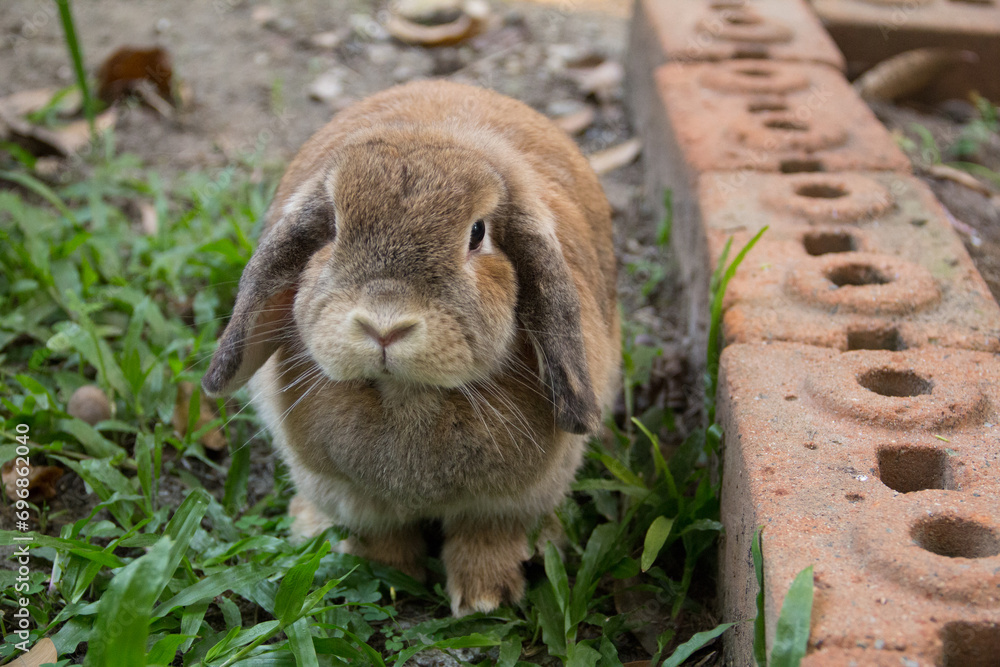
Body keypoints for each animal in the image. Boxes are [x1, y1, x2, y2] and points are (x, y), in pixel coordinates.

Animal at [202, 79, 620, 616]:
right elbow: (381, 537)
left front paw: (486, 599)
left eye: (478, 233)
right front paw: (387, 577)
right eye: (332, 227)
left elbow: (487, 539)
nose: (384, 326)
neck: (406, 397)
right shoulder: (352, 497)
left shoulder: (508, 503)